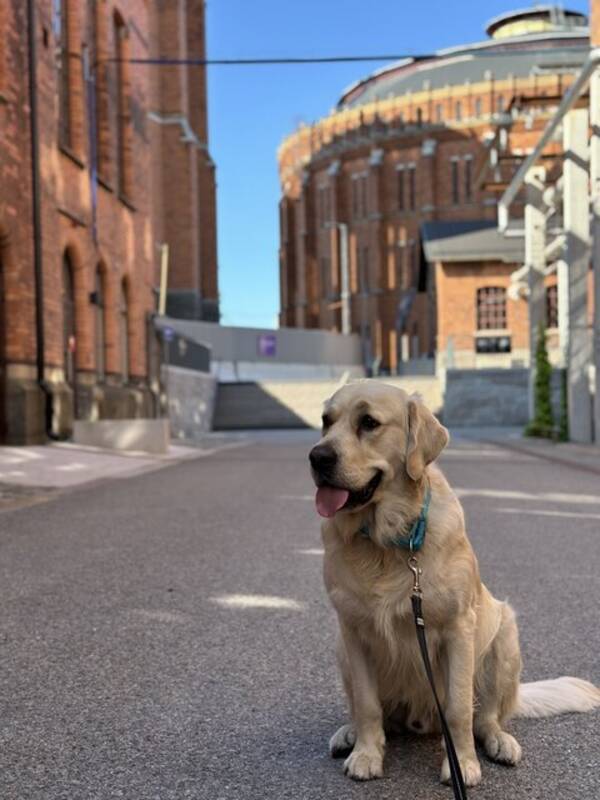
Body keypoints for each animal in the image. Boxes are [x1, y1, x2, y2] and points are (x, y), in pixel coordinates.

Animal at [312, 382, 596, 788]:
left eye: (368, 423)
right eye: (326, 421)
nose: (317, 457)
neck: (390, 540)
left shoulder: (458, 629)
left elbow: (459, 708)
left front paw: (462, 764)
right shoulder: (353, 631)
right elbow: (367, 705)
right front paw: (366, 754)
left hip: (504, 637)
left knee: (486, 717)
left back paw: (500, 741)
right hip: (340, 649)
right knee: (371, 712)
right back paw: (348, 734)